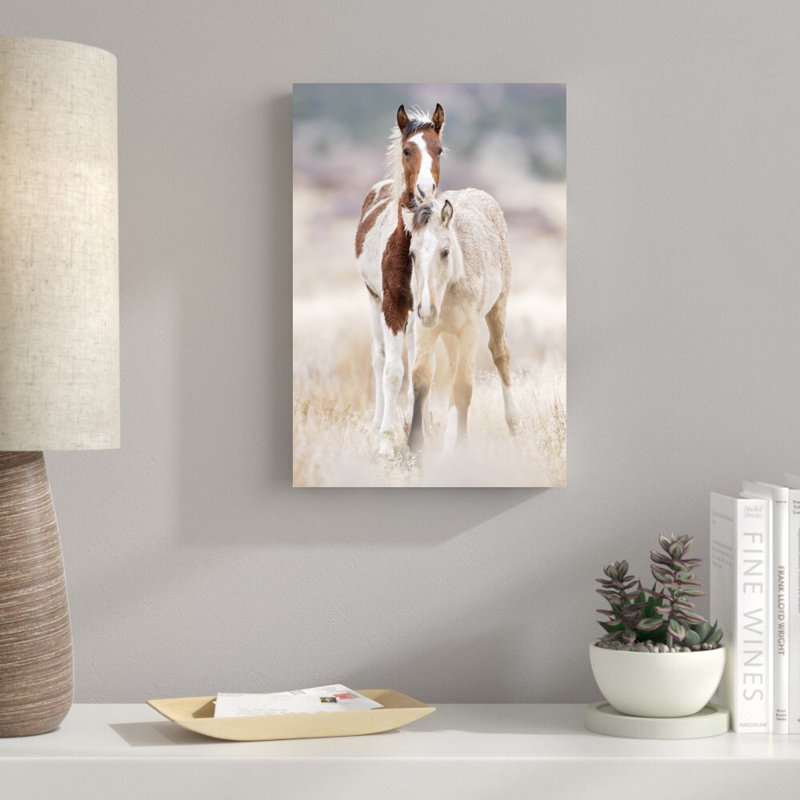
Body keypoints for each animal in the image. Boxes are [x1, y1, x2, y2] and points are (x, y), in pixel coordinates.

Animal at [355, 104, 445, 457]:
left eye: (439, 149)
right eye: (407, 150)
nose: (425, 192)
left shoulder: (424, 309)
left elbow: (422, 371)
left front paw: (424, 435)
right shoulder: (392, 304)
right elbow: (392, 372)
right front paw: (386, 442)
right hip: (374, 302)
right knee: (380, 359)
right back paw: (376, 427)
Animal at [401, 189, 520, 452]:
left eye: (445, 252)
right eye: (412, 254)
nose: (427, 309)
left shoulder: (469, 330)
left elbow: (464, 386)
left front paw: (461, 446)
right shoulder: (426, 330)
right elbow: (421, 378)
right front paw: (415, 445)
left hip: (498, 306)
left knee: (501, 354)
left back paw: (513, 422)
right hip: (449, 335)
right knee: (454, 368)